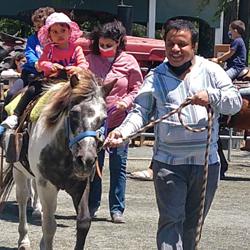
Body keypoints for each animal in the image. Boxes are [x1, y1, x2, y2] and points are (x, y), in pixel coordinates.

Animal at [0, 69, 114, 250]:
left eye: (103, 118)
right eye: (73, 114)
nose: (86, 160)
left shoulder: (81, 184)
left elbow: (83, 222)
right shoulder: (47, 184)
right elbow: (49, 226)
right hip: (18, 170)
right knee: (23, 198)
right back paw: (24, 240)